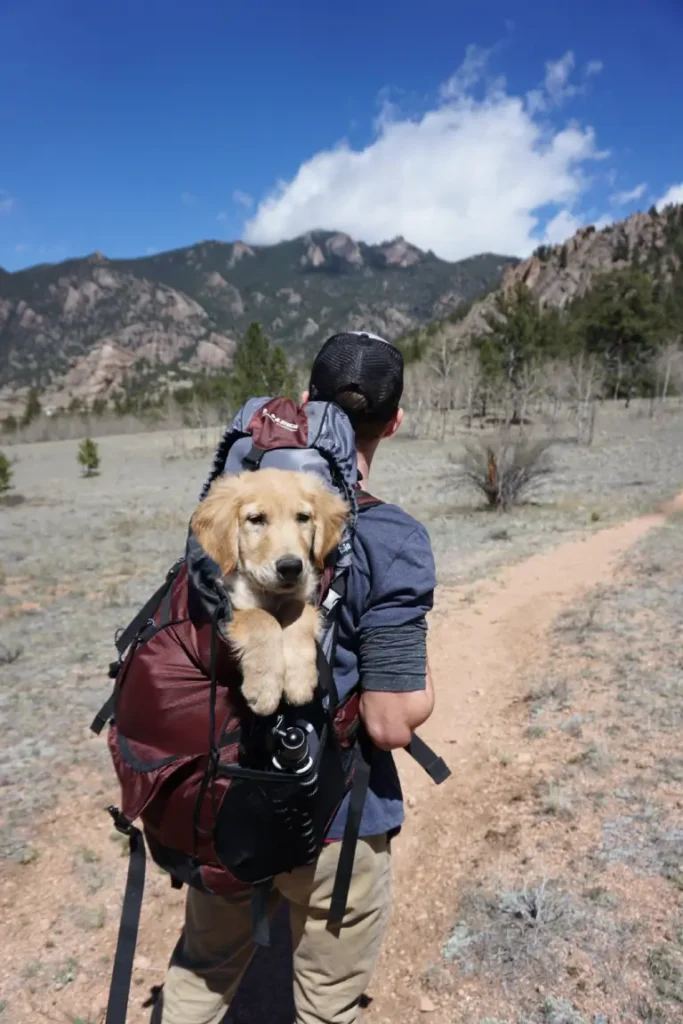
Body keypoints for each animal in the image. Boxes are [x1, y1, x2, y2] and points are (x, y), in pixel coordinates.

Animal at [193, 468, 350, 716]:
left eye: (303, 517)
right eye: (256, 519)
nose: (291, 567)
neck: (272, 594)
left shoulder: (303, 597)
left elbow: (297, 612)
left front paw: (299, 681)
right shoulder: (232, 606)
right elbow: (261, 618)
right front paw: (264, 689)